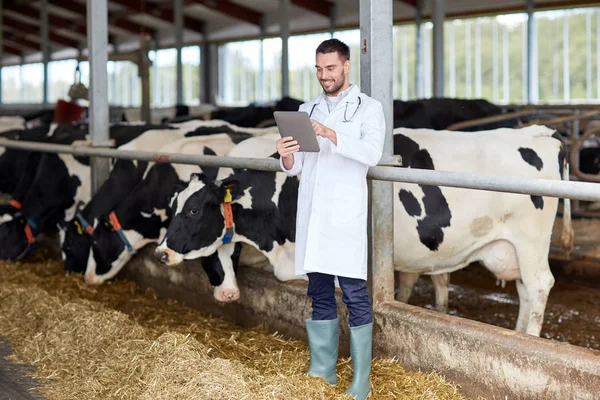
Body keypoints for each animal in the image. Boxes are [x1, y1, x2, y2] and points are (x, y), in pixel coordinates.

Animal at [154, 126, 572, 338]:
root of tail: (542, 133)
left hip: (531, 239)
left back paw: (530, 337)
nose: (160, 252)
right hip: (512, 245)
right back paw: (520, 335)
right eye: (172, 207)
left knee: (539, 285)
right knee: (525, 291)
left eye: (193, 210)